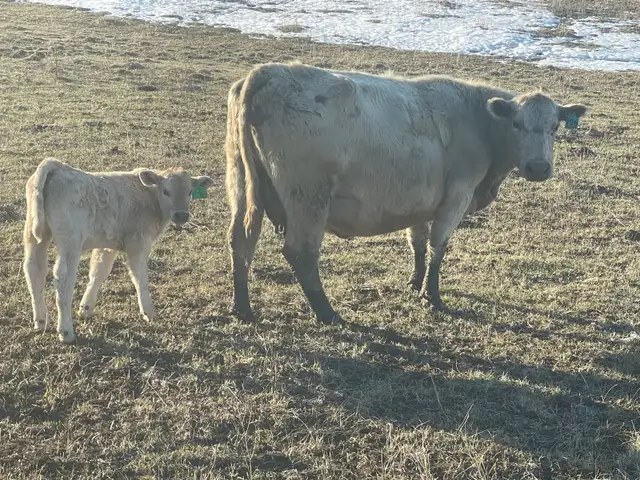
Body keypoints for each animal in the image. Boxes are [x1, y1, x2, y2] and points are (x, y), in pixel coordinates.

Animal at [23, 158, 214, 343]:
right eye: (166, 191)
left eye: (190, 191)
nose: (181, 215)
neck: (149, 196)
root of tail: (56, 166)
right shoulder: (138, 244)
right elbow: (140, 278)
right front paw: (148, 312)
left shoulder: (108, 245)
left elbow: (98, 272)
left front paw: (85, 308)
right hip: (70, 243)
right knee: (63, 279)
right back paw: (66, 332)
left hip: (34, 235)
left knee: (34, 270)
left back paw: (40, 321)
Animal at [225, 62, 587, 325]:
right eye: (516, 124)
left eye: (555, 127)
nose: (538, 167)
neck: (477, 121)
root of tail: (269, 72)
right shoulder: (455, 198)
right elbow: (439, 247)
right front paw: (432, 296)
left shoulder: (421, 202)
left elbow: (418, 243)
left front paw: (415, 282)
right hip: (308, 198)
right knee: (301, 252)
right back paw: (327, 313)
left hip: (242, 185)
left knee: (241, 240)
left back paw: (242, 308)